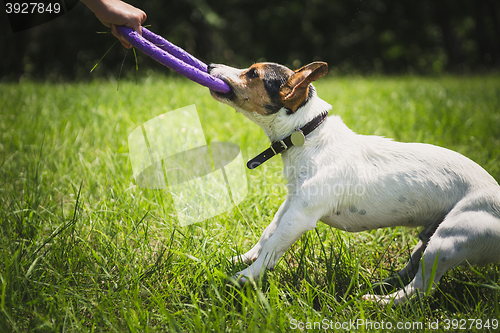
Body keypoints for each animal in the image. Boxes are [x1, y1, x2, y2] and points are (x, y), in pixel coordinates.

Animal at [206, 60, 500, 304]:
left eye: (253, 73)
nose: (209, 65)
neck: (309, 134)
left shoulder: (300, 216)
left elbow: (273, 247)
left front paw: (244, 275)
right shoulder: (290, 203)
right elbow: (267, 234)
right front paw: (242, 258)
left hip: (447, 242)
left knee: (420, 288)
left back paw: (379, 301)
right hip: (429, 238)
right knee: (413, 268)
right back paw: (385, 282)